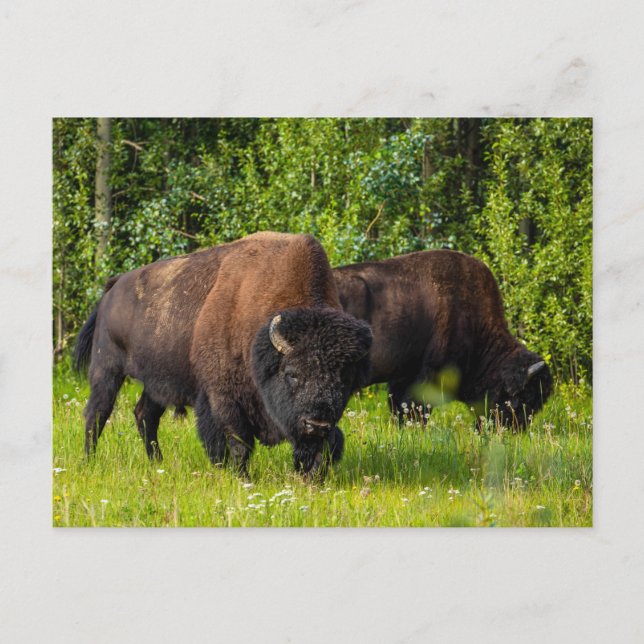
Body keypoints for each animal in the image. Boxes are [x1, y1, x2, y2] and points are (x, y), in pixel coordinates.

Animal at [74, 232, 372, 476]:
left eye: (344, 379)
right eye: (292, 374)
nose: (317, 423)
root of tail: (112, 287)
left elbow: (327, 446)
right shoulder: (223, 397)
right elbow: (237, 441)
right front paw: (240, 476)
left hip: (156, 381)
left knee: (145, 415)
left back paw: (157, 462)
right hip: (107, 369)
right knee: (97, 413)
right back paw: (89, 461)